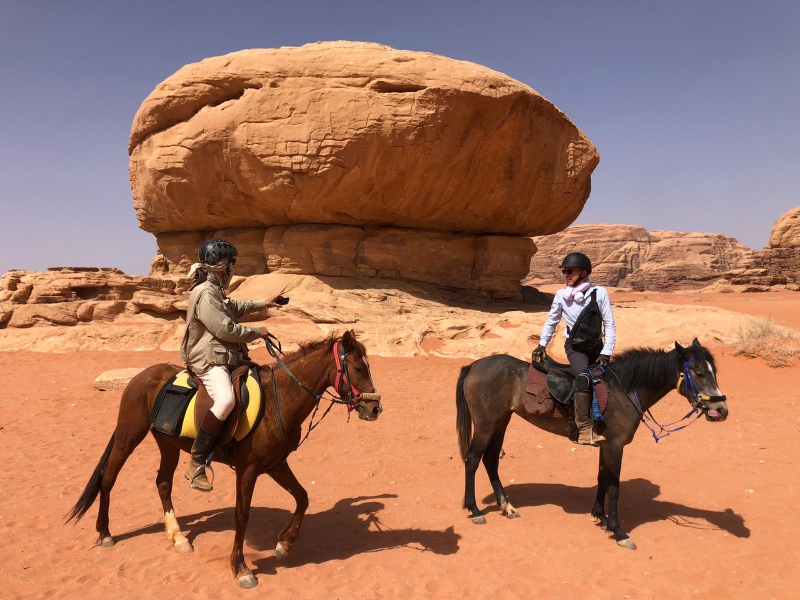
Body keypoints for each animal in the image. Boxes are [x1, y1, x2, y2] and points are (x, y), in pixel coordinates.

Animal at [67, 328, 382, 584]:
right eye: (357, 367)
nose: (376, 408)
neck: (278, 400)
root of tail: (141, 376)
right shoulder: (248, 470)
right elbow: (241, 516)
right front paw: (241, 568)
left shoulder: (276, 465)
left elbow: (303, 498)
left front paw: (285, 543)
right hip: (127, 437)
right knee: (108, 477)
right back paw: (105, 532)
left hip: (168, 444)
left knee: (163, 483)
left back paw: (178, 537)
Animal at [456, 338, 724, 548]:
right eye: (699, 373)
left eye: (714, 372)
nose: (721, 409)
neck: (625, 390)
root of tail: (474, 365)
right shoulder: (616, 445)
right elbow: (614, 488)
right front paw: (618, 531)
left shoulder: (606, 445)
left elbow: (602, 478)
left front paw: (600, 518)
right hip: (486, 424)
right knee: (472, 460)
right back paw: (475, 509)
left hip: (501, 421)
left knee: (490, 460)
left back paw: (507, 507)